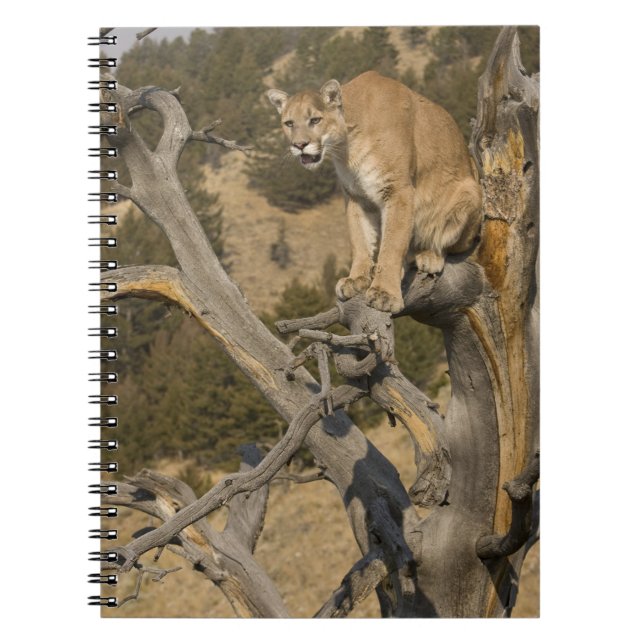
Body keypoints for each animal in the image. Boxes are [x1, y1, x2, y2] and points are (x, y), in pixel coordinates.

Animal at [266, 71, 482, 314]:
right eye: (289, 123)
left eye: (315, 120)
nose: (299, 145)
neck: (347, 145)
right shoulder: (356, 196)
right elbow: (359, 240)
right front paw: (356, 278)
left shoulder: (398, 190)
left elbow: (392, 244)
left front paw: (384, 293)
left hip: (470, 192)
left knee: (453, 244)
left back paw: (429, 255)